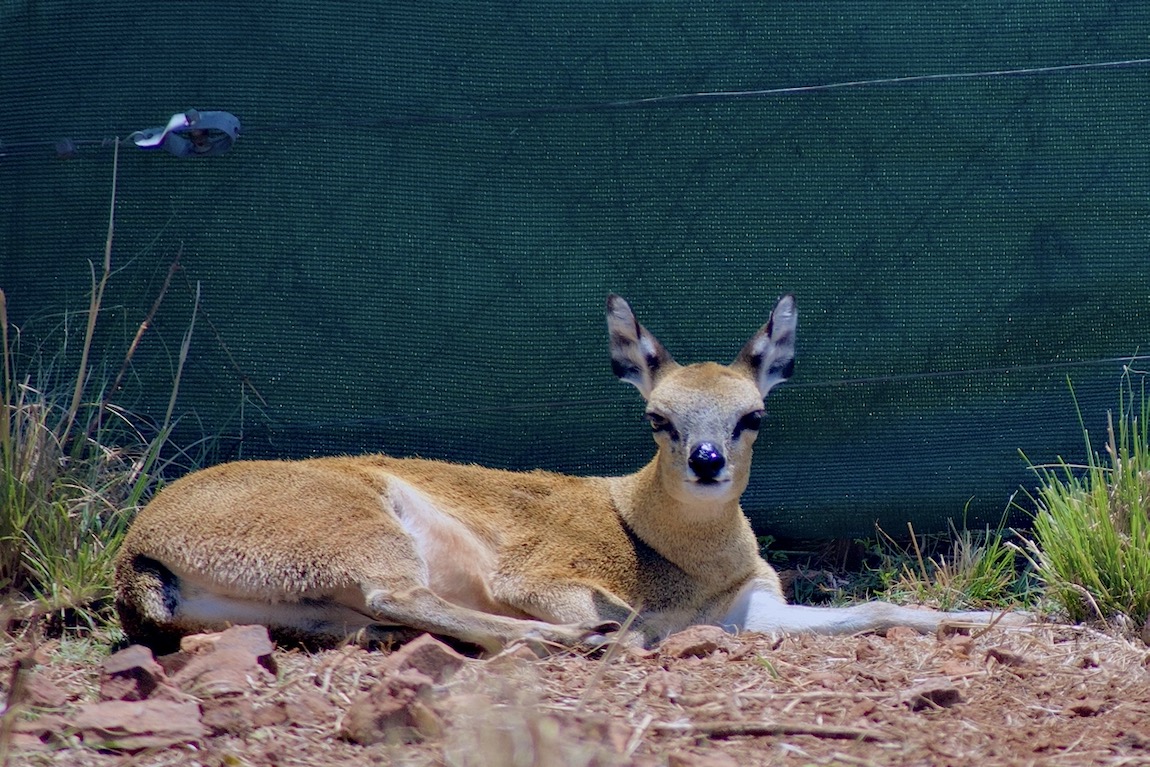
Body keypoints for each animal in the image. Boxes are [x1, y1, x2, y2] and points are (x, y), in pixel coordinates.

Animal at [115, 294, 1025, 654]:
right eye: (658, 415)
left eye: (752, 414)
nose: (706, 462)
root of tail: (135, 549)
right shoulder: (540, 575)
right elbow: (601, 609)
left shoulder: (753, 610)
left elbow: (877, 606)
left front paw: (992, 619)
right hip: (361, 534)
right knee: (404, 594)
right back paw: (570, 640)